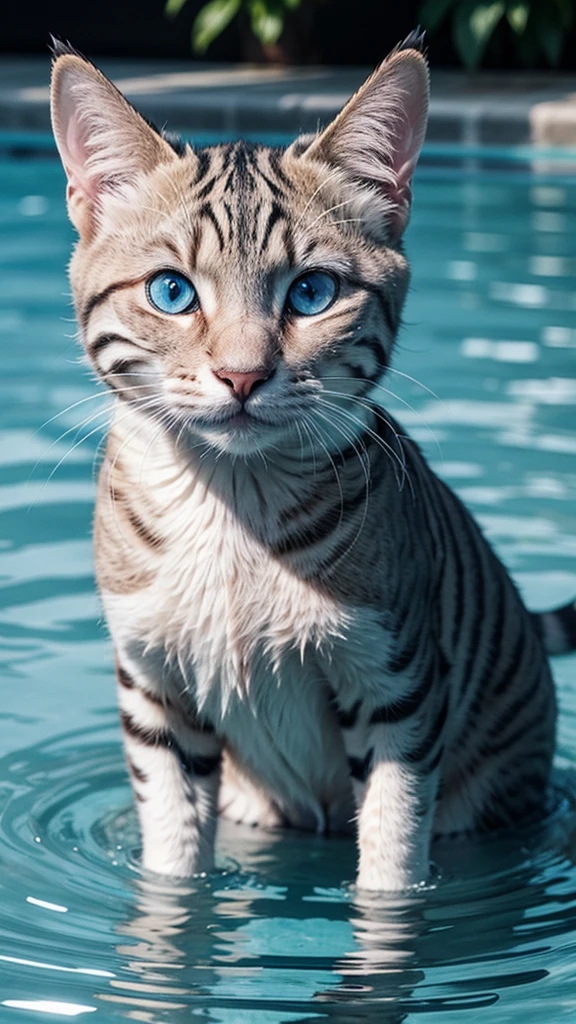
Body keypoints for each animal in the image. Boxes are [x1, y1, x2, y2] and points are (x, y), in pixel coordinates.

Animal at [50, 34, 573, 888]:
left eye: (311, 293)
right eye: (171, 292)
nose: (241, 376)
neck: (231, 504)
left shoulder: (396, 685)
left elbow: (392, 863)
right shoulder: (154, 687)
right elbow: (171, 864)